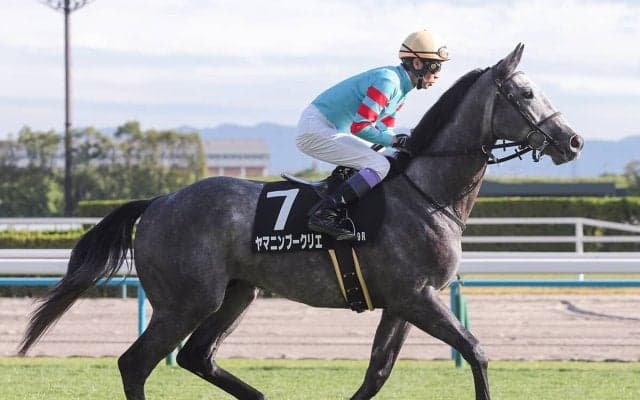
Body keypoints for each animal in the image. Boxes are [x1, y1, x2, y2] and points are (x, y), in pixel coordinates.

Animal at [20, 44, 583, 400]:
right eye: (526, 94)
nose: (573, 141)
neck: (428, 195)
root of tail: (160, 201)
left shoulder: (402, 303)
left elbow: (378, 372)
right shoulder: (417, 297)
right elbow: (476, 352)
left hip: (237, 293)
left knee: (197, 356)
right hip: (186, 300)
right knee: (136, 363)